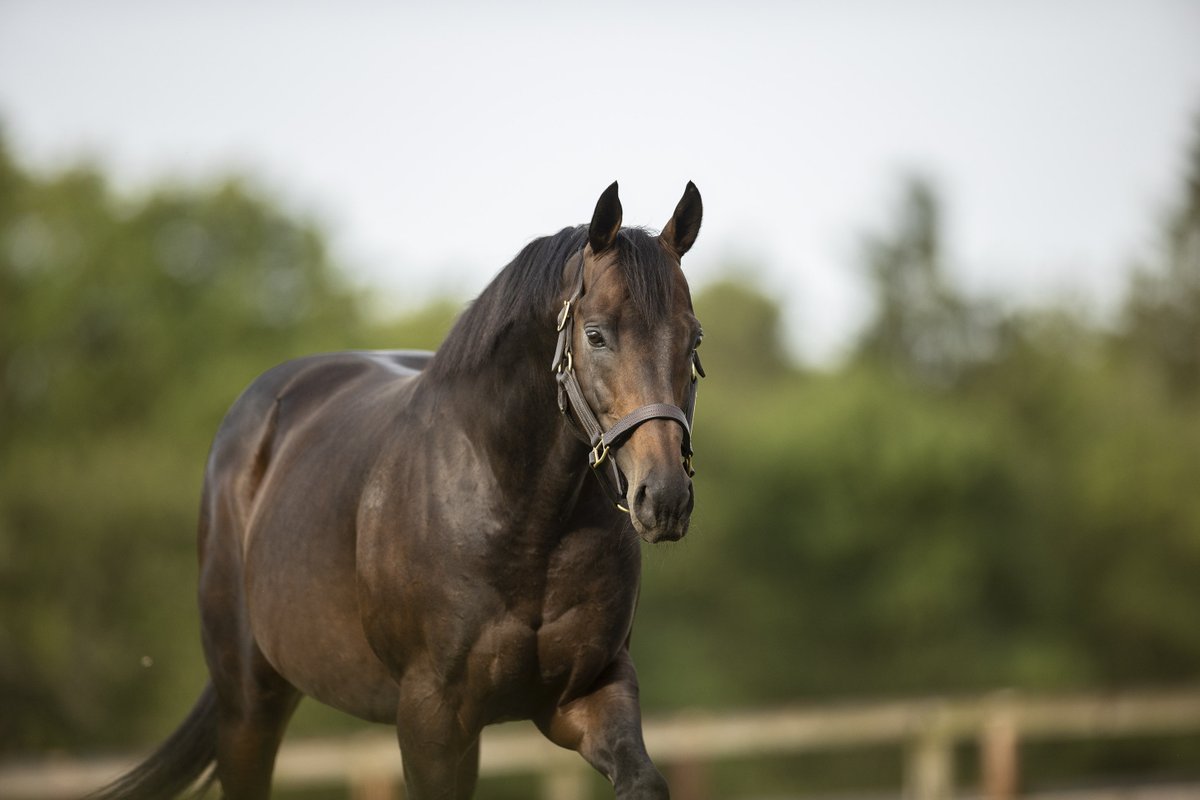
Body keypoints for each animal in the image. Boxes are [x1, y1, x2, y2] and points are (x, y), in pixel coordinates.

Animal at [98, 183, 705, 800]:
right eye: (596, 335)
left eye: (693, 339)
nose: (664, 498)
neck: (521, 518)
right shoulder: (429, 716)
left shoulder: (585, 695)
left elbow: (642, 780)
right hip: (248, 705)